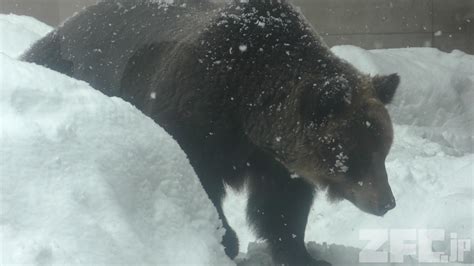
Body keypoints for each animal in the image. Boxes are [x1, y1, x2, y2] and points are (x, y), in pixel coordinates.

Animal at [23, 1, 400, 264]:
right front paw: (225, 240)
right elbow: (199, 179)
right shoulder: (197, 117)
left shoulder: (274, 160)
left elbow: (280, 207)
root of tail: (61, 26)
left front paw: (303, 254)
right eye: (353, 153)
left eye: (383, 149)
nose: (387, 202)